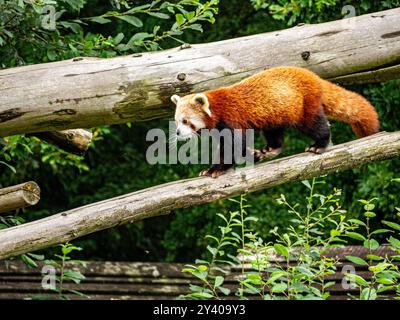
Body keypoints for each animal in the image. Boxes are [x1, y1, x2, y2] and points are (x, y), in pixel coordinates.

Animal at [170, 66, 380, 179]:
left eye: (186, 121)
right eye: (177, 122)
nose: (178, 133)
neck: (217, 108)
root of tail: (313, 76)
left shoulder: (232, 119)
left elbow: (235, 145)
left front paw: (218, 169)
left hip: (304, 104)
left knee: (315, 124)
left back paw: (319, 145)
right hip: (274, 115)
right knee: (274, 134)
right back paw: (270, 149)